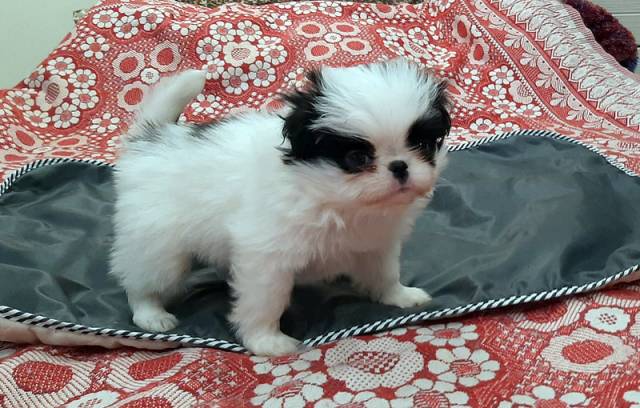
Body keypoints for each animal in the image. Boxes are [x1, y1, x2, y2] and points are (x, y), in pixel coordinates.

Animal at [110, 58, 451, 356]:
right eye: (357, 158)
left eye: (421, 145)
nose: (400, 166)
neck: (337, 200)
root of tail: (151, 139)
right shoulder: (266, 256)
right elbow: (265, 300)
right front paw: (266, 341)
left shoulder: (376, 244)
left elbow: (384, 274)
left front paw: (400, 296)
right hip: (159, 244)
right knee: (143, 279)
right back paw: (151, 313)